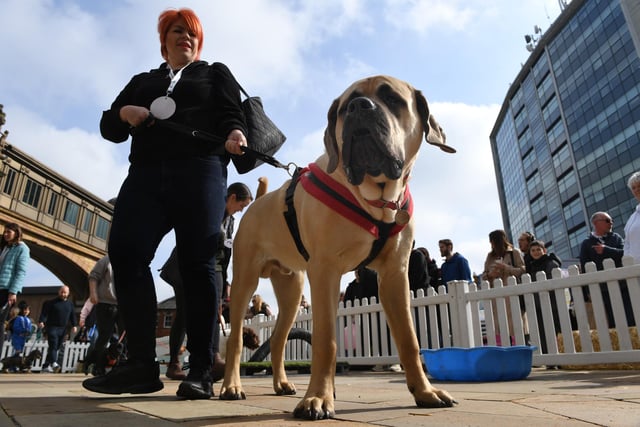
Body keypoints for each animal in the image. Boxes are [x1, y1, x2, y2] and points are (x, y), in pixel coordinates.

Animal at [222, 75, 458, 420]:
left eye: (393, 99)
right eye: (347, 106)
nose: (361, 107)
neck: (375, 200)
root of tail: (259, 201)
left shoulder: (394, 275)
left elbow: (408, 339)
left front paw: (425, 392)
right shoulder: (325, 272)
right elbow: (326, 341)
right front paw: (318, 398)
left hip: (291, 291)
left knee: (278, 339)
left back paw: (281, 383)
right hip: (244, 283)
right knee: (236, 339)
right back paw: (231, 386)